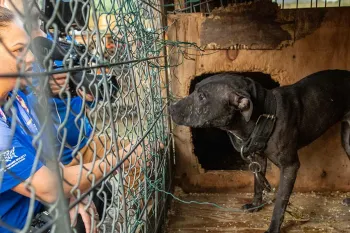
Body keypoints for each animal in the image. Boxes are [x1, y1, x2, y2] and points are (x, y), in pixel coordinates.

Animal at [167, 70, 350, 233]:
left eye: (202, 96)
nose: (170, 108)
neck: (266, 114)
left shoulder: (290, 166)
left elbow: (280, 202)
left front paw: (273, 228)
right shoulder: (258, 159)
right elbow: (258, 183)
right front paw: (256, 205)